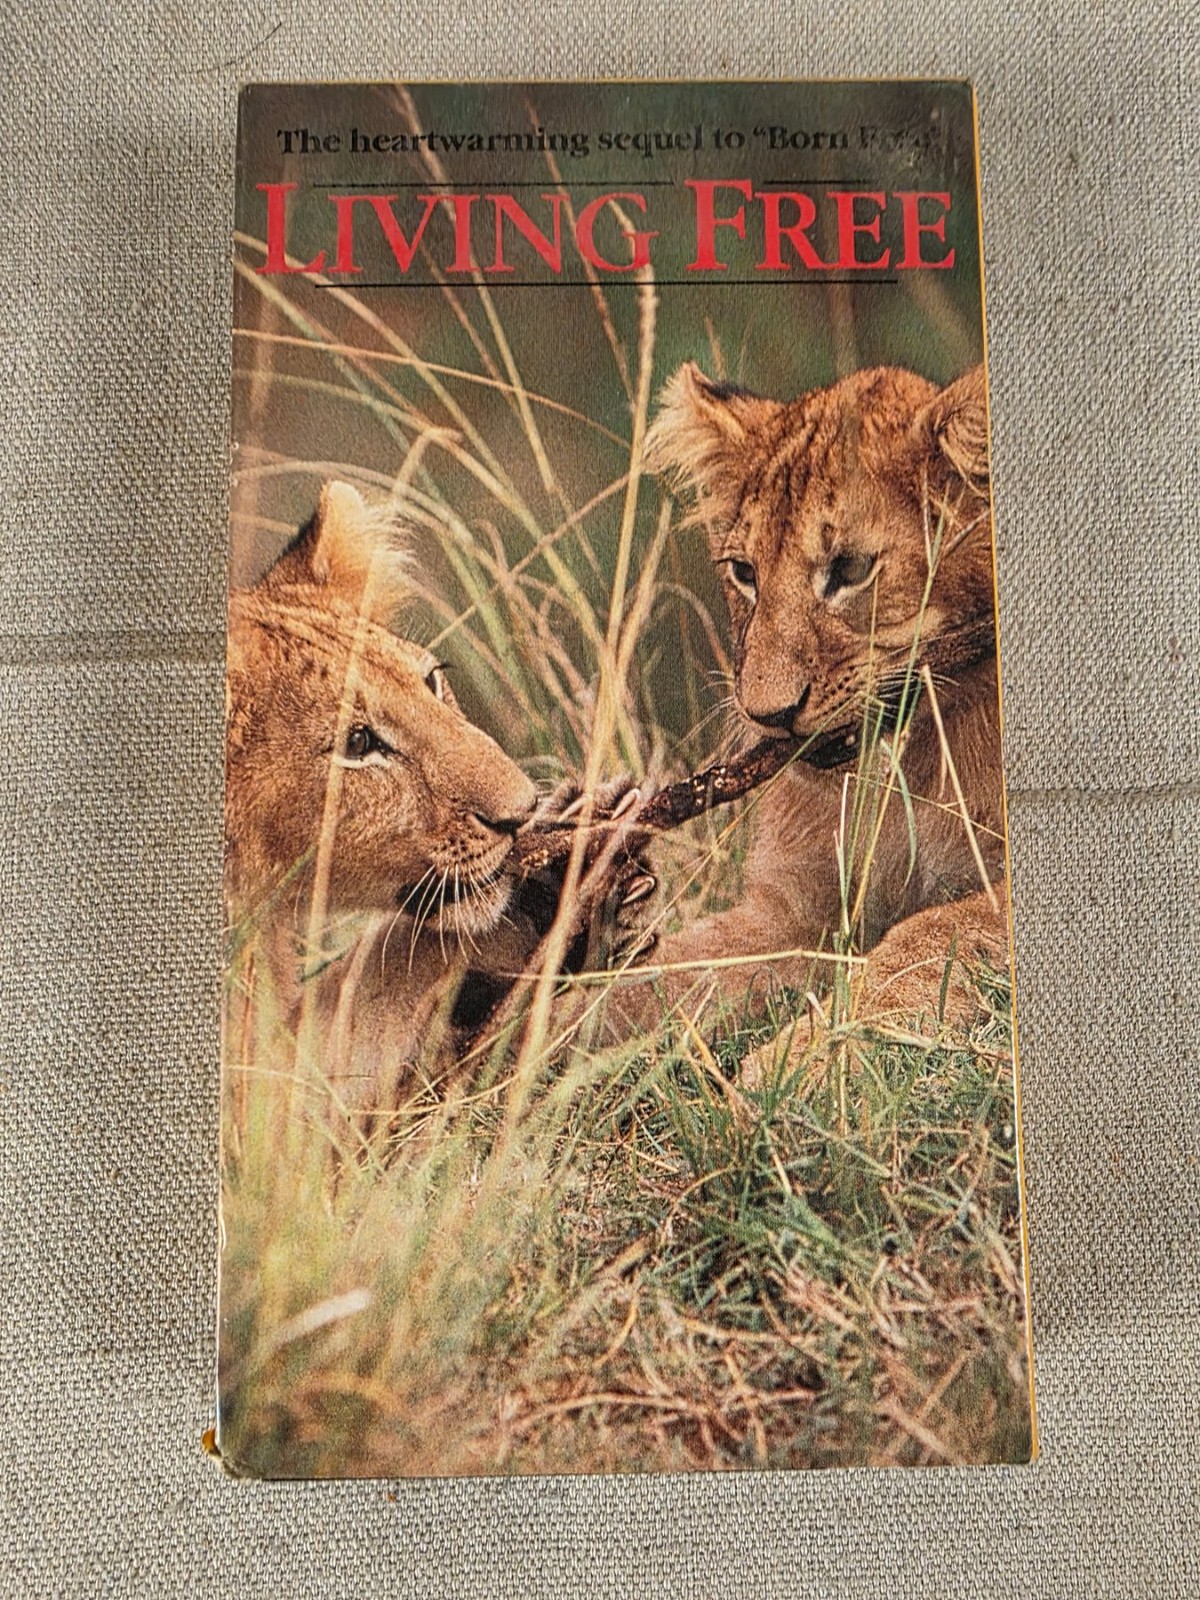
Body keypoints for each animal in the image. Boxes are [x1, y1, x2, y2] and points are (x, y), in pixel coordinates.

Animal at [614, 359, 1010, 1043]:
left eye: (849, 569)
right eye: (744, 572)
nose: (767, 713)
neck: (905, 772)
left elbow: (926, 942)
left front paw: (793, 1057)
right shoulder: (792, 913)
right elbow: (656, 976)